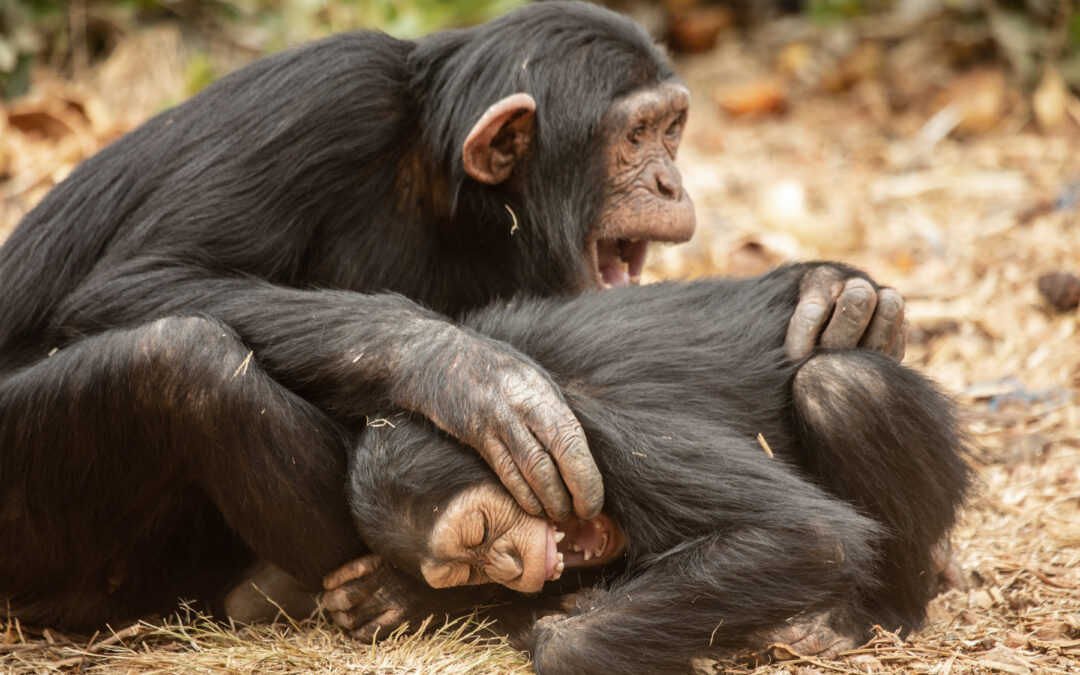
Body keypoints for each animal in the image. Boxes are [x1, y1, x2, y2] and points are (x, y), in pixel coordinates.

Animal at [0, 2, 902, 630]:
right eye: (638, 134)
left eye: (673, 128)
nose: (671, 182)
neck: (446, 183)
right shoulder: (329, 96)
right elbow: (143, 276)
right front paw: (474, 377)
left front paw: (839, 297)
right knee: (183, 359)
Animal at [330, 262, 972, 673]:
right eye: (468, 570)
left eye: (482, 532)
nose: (509, 567)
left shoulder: (595, 432)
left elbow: (806, 535)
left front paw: (554, 631)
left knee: (843, 388)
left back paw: (862, 617)